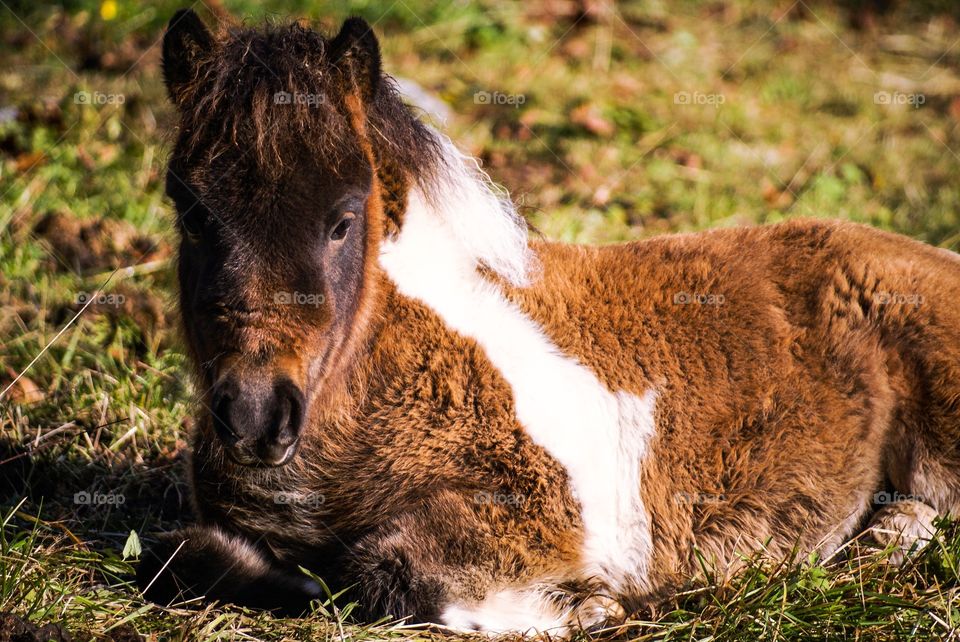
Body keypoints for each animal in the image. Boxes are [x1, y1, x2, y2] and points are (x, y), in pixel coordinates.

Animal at [137, 9, 960, 635]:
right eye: (190, 211)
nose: (254, 415)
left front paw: (590, 607)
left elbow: (393, 572)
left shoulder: (535, 513)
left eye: (343, 220)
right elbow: (176, 554)